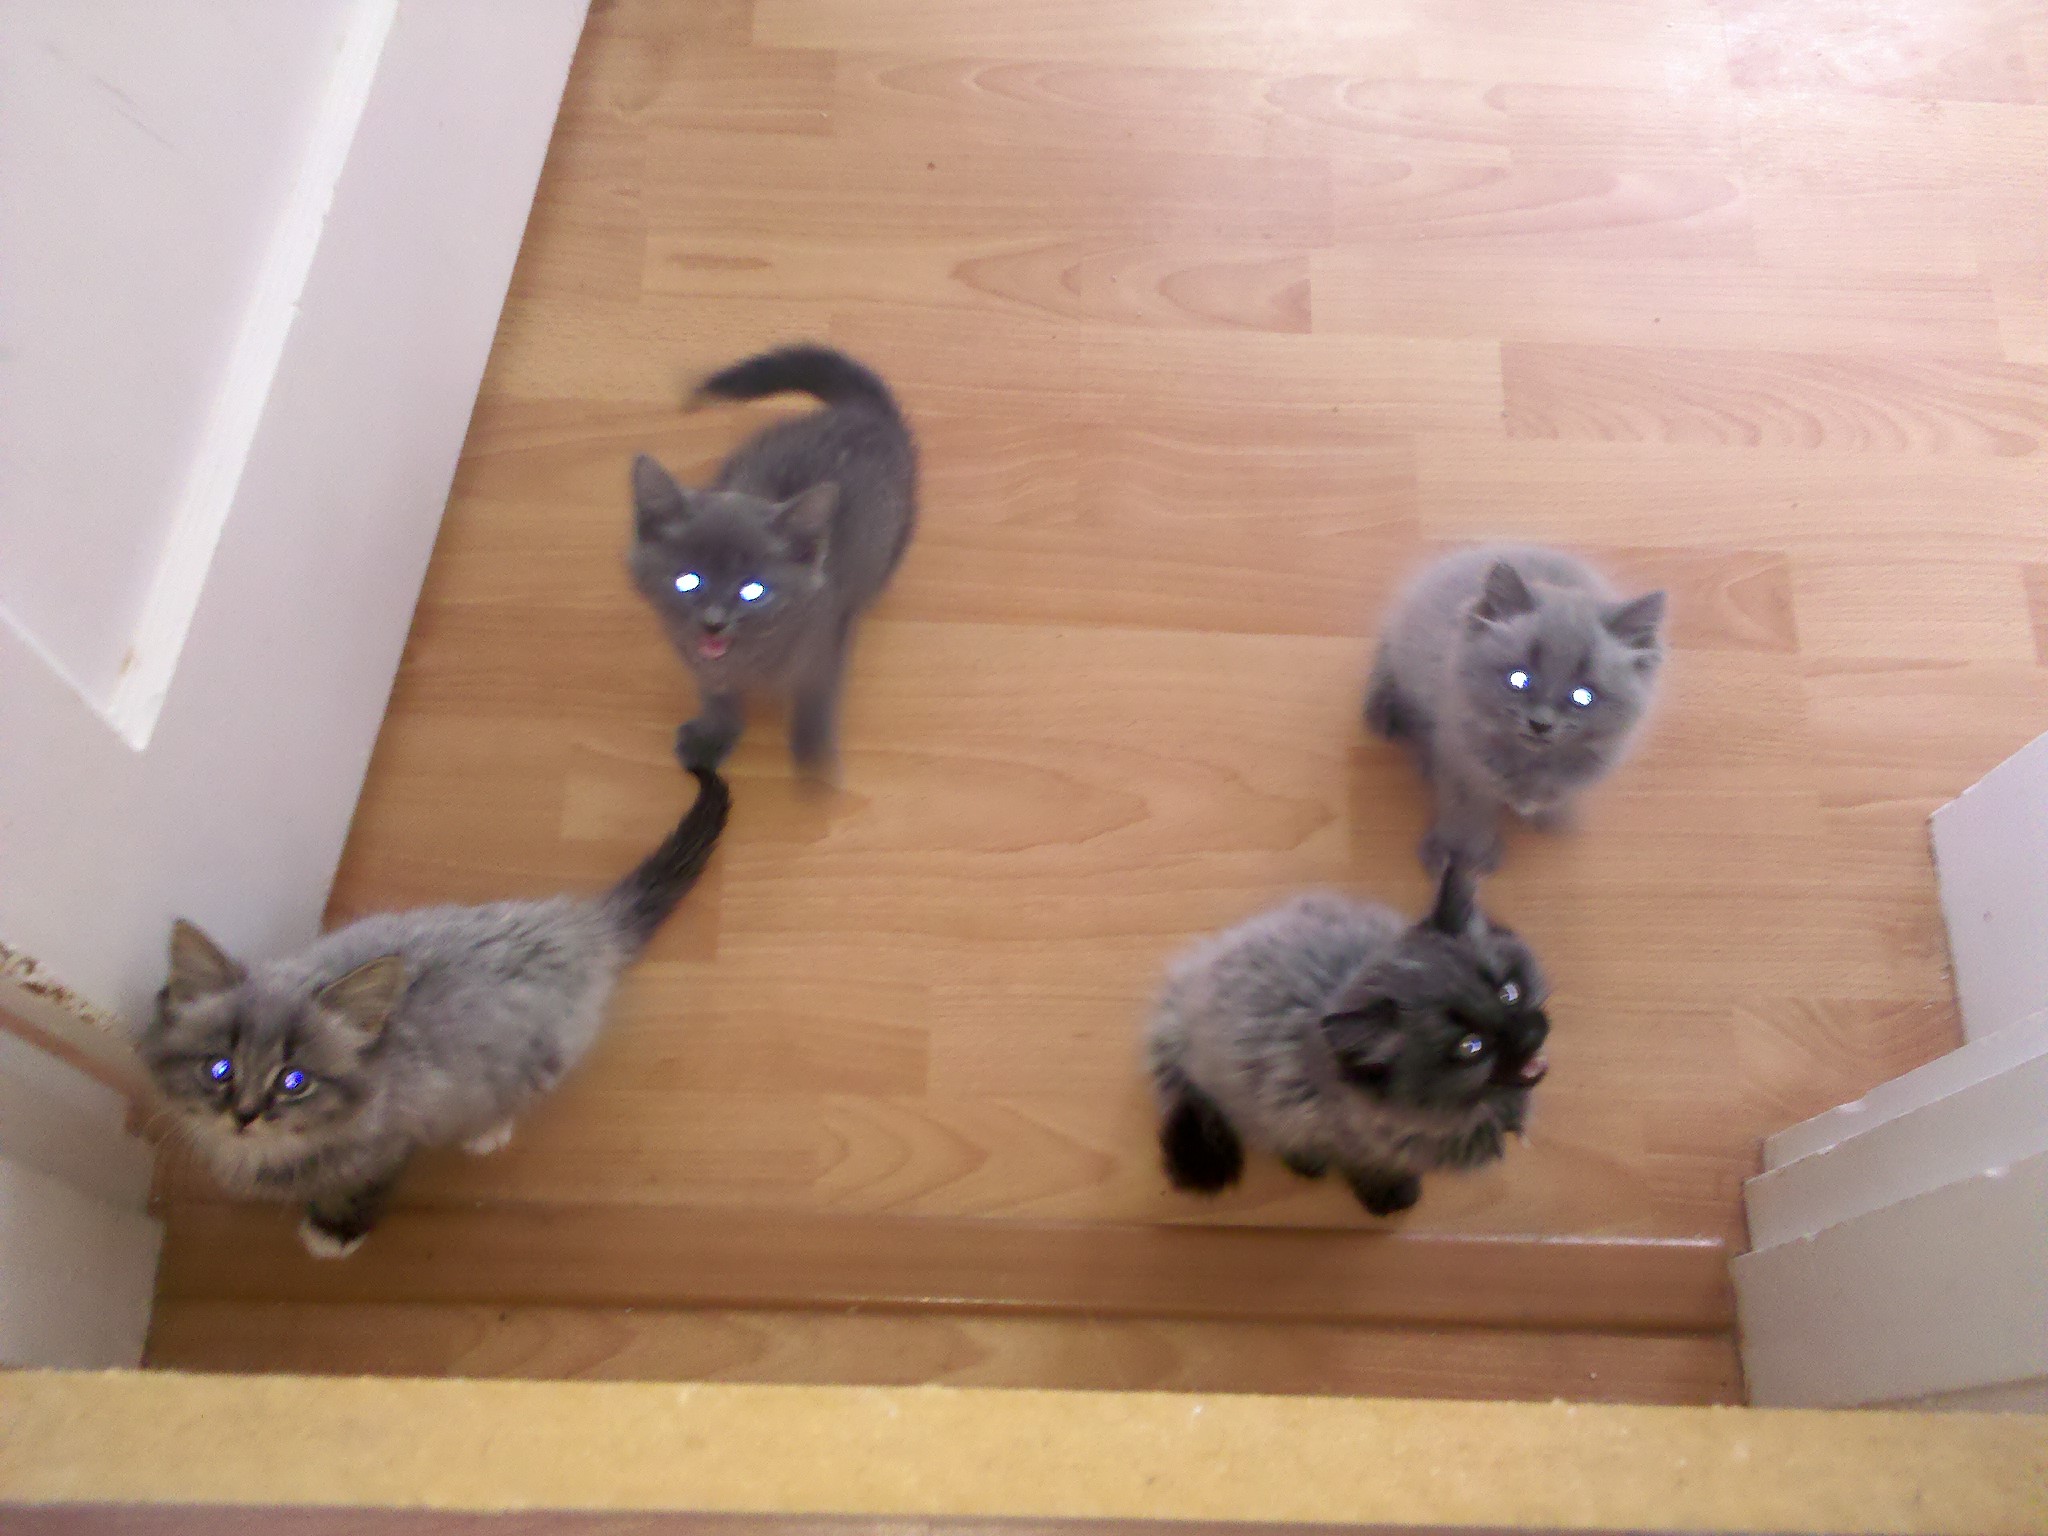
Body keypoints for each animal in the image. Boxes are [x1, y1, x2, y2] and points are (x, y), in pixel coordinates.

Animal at [137, 765, 730, 1258]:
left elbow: (356, 1192)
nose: (244, 1116)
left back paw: (487, 1132)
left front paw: (332, 1235)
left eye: (294, 1081)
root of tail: (574, 926)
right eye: (220, 1069)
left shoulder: (389, 1145)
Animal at [629, 343, 918, 775]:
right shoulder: (698, 658)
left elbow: (818, 698)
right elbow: (717, 694)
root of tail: (865, 412)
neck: (749, 654)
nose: (714, 622)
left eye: (753, 590)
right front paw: (715, 733)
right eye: (688, 581)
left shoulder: (829, 638)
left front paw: (814, 759)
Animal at [1144, 864, 1549, 1217]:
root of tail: (1188, 987)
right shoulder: (1337, 1131)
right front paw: (1388, 1192)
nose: (1530, 1034)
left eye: (1509, 993)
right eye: (1470, 1047)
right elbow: (1370, 1164)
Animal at [1365, 545, 1666, 874]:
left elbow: (1555, 794)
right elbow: (1465, 814)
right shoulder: (1461, 763)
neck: (1529, 762)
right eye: (1519, 679)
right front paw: (1461, 853)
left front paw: (1552, 816)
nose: (1541, 724)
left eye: (1582, 697)